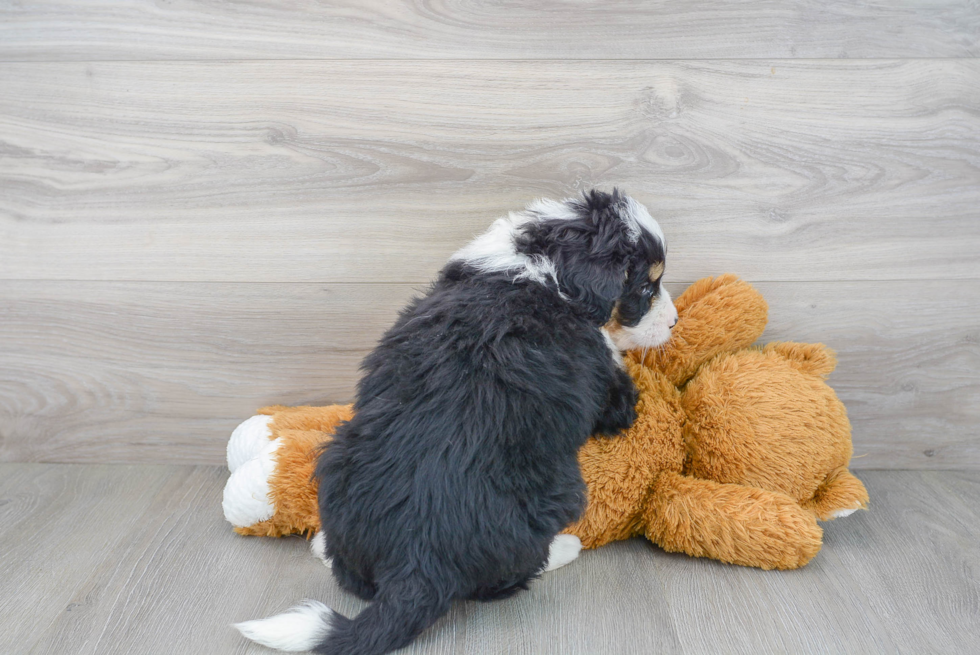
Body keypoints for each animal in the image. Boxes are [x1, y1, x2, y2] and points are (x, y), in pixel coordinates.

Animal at [236, 190, 676, 655]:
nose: (675, 322)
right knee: (506, 578)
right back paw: (565, 547)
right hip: (554, 496)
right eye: (645, 287)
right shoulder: (608, 388)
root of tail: (417, 560)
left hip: (339, 457)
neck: (547, 268)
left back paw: (323, 545)